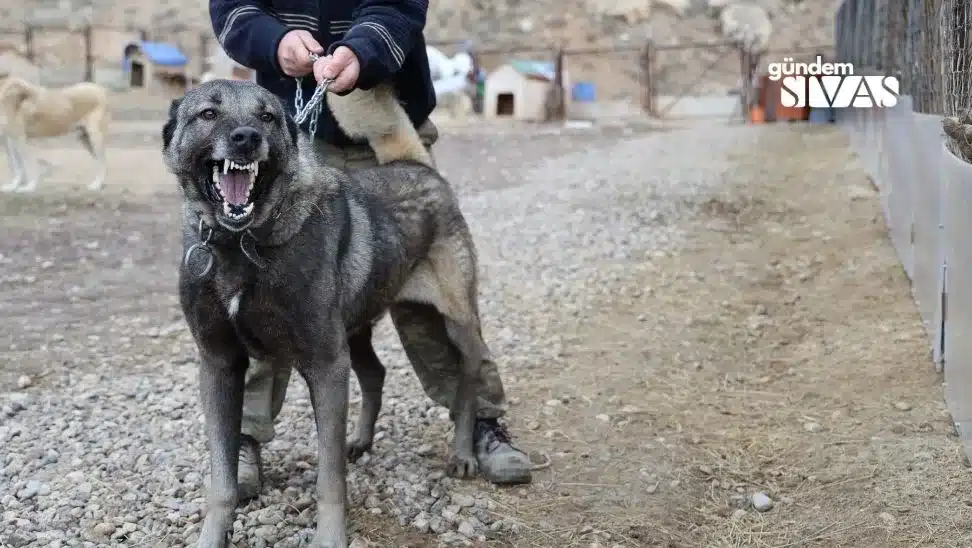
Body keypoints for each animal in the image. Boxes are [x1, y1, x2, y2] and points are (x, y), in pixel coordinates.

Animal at [162, 78, 490, 548]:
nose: (246, 138)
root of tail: (416, 165)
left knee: (467, 380)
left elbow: (329, 478)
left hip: (455, 323)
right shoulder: (220, 366)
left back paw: (464, 451)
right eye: (208, 113)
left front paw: (331, 537)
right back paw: (362, 439)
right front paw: (212, 536)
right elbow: (222, 480)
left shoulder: (325, 366)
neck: (241, 245)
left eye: (267, 116)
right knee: (375, 373)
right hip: (357, 331)